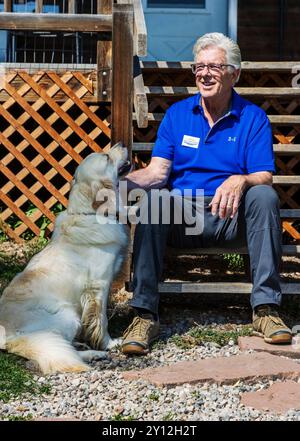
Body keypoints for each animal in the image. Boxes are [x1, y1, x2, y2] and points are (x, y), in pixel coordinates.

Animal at [0, 143, 130, 372]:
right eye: (106, 157)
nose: (121, 144)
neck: (90, 214)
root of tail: (9, 338)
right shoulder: (99, 286)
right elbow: (101, 319)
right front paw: (109, 343)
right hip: (68, 315)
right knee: (63, 346)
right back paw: (93, 354)